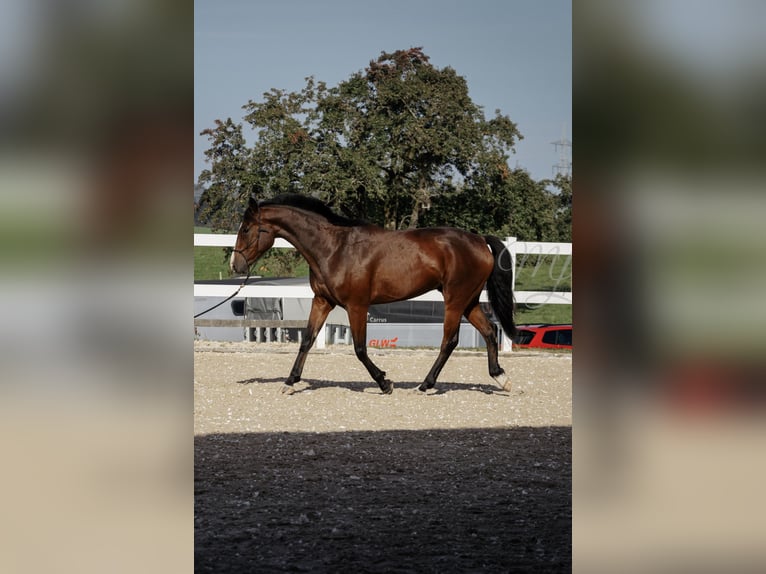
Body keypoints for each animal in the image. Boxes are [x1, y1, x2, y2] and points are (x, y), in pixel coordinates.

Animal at [228, 194, 516, 396]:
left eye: (245, 229)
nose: (235, 265)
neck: (334, 248)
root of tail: (479, 240)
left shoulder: (356, 306)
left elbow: (359, 348)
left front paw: (385, 382)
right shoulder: (323, 302)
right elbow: (307, 340)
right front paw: (289, 382)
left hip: (455, 301)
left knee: (450, 341)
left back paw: (425, 385)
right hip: (469, 301)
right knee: (489, 332)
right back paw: (501, 378)